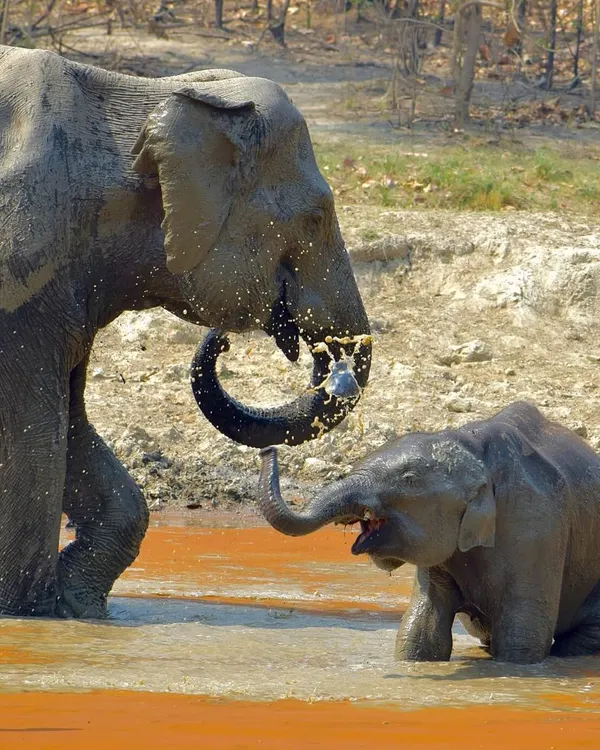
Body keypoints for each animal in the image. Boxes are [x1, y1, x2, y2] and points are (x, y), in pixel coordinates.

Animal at [0, 46, 371, 619]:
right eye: (316, 217)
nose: (221, 339)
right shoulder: (25, 264)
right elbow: (34, 440)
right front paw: (31, 616)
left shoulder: (63, 286)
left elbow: (68, 423)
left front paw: (79, 608)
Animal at [257, 401, 600, 664]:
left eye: (409, 479)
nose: (267, 449)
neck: (474, 448)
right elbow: (422, 632)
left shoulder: (538, 525)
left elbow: (522, 639)